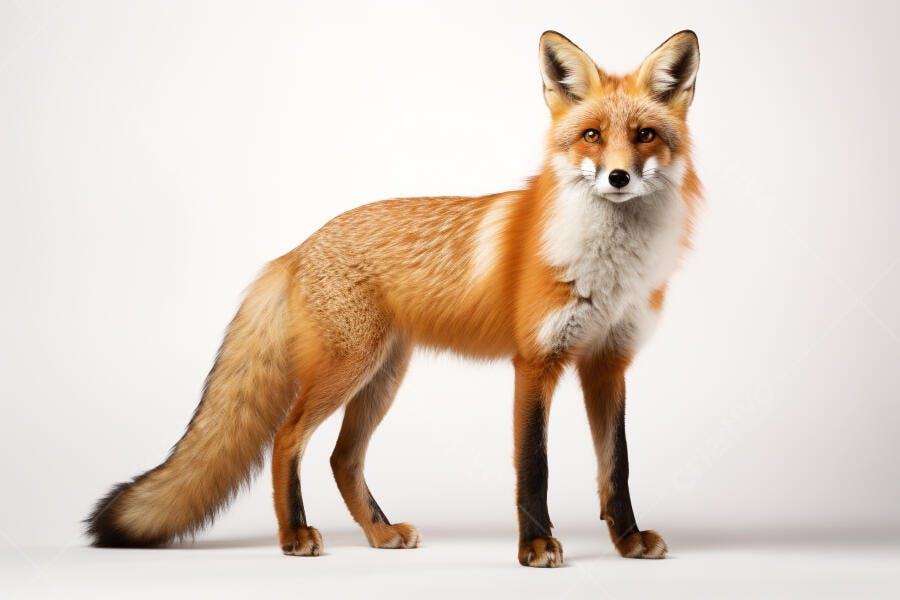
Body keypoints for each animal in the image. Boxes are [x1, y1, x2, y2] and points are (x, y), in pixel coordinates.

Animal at [86, 30, 702, 568]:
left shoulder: (607, 362)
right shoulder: (536, 361)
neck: (609, 269)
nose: (618, 177)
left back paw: (379, 533)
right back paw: (294, 535)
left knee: (341, 457)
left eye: (645, 135)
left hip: (382, 377)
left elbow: (616, 467)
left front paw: (627, 541)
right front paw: (535, 548)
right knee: (288, 437)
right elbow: (535, 467)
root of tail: (297, 248)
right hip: (347, 368)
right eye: (592, 135)